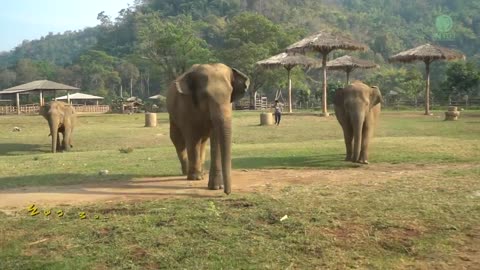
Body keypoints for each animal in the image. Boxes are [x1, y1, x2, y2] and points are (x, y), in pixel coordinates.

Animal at [168, 63, 251, 194]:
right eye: (205, 95)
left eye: (230, 94)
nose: (227, 193)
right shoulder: (185, 106)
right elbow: (191, 137)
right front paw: (196, 178)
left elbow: (215, 137)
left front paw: (216, 187)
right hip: (172, 114)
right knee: (178, 140)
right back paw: (188, 173)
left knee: (202, 141)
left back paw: (201, 172)